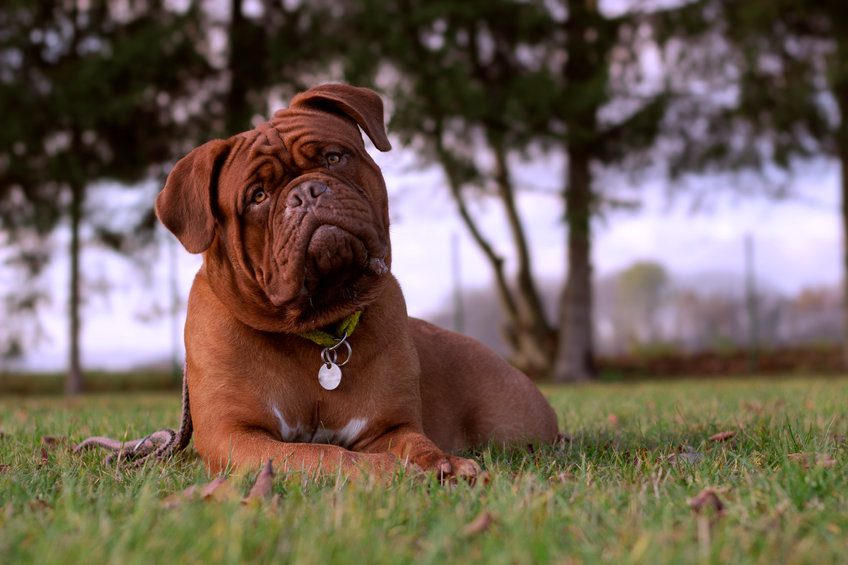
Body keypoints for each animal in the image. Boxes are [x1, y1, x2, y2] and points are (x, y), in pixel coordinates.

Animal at [154, 85, 556, 480]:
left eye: (333, 158)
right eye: (257, 196)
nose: (306, 192)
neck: (317, 329)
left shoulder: (389, 427)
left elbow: (417, 443)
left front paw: (444, 463)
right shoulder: (233, 435)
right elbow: (319, 454)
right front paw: (386, 470)